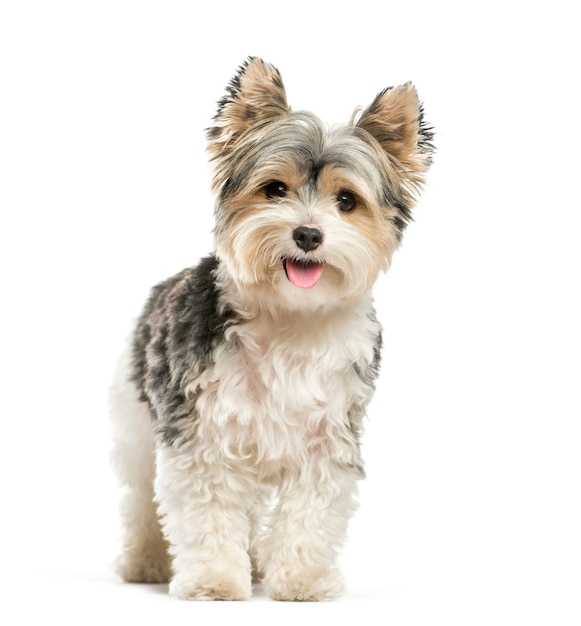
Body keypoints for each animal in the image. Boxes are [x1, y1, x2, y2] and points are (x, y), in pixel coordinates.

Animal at [110, 57, 430, 600]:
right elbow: (209, 514)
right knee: (140, 499)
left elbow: (309, 517)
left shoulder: (328, 438)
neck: (291, 315)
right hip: (136, 419)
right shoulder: (203, 434)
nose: (307, 234)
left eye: (347, 201)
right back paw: (146, 561)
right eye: (275, 190)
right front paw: (215, 580)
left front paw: (301, 580)